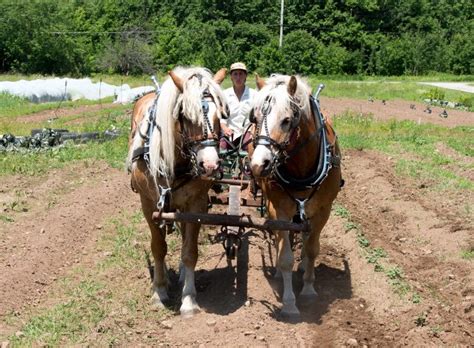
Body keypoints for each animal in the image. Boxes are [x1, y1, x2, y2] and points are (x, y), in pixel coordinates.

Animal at [127, 66, 227, 318]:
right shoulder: (148, 205)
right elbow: (158, 247)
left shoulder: (196, 204)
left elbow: (190, 251)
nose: (210, 165)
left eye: (220, 116)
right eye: (185, 115)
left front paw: (189, 299)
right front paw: (159, 290)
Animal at [250, 73, 342, 318]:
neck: (301, 169)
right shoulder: (280, 210)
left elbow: (312, 249)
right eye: (255, 118)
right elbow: (285, 257)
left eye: (286, 120)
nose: (258, 165)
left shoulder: (323, 211)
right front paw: (289, 302)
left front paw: (309, 288)